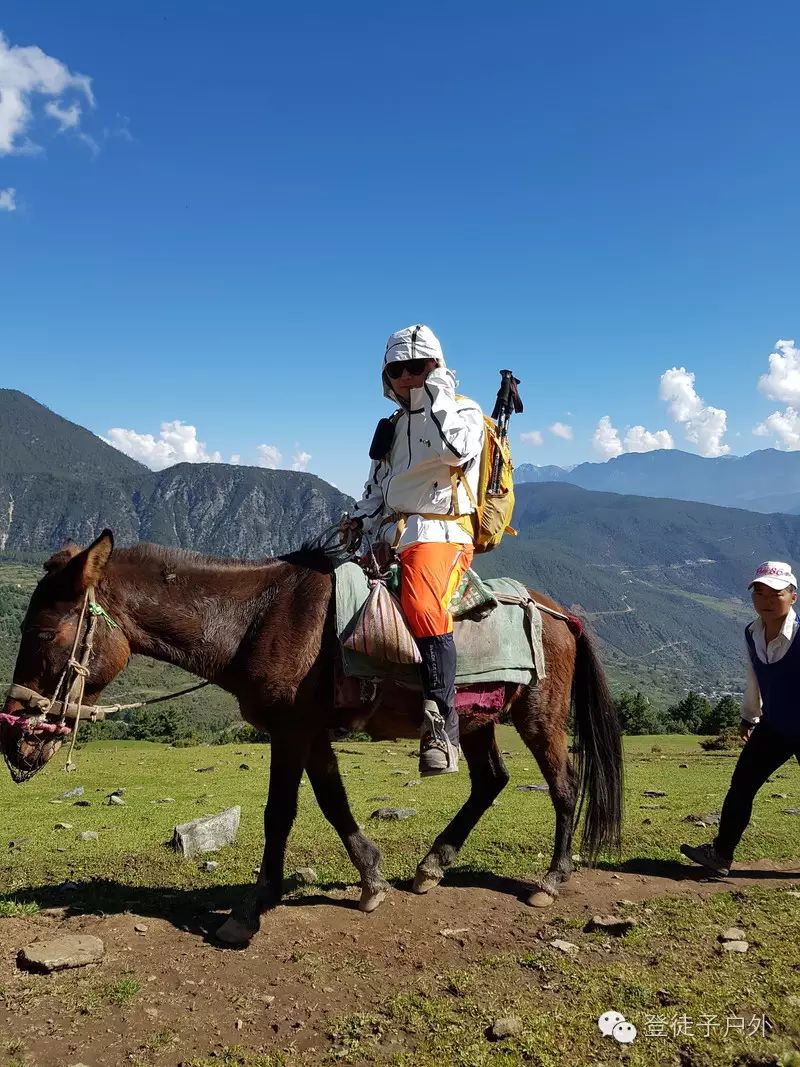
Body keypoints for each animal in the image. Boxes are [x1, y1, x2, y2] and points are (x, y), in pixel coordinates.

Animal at [0, 529, 622, 947]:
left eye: (43, 633)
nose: (15, 738)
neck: (255, 619)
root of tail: (559, 613)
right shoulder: (311, 734)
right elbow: (332, 800)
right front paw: (372, 880)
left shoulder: (291, 730)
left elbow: (281, 811)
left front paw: (250, 909)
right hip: (475, 721)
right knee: (490, 781)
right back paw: (431, 866)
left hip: (539, 718)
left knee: (564, 787)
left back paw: (551, 879)